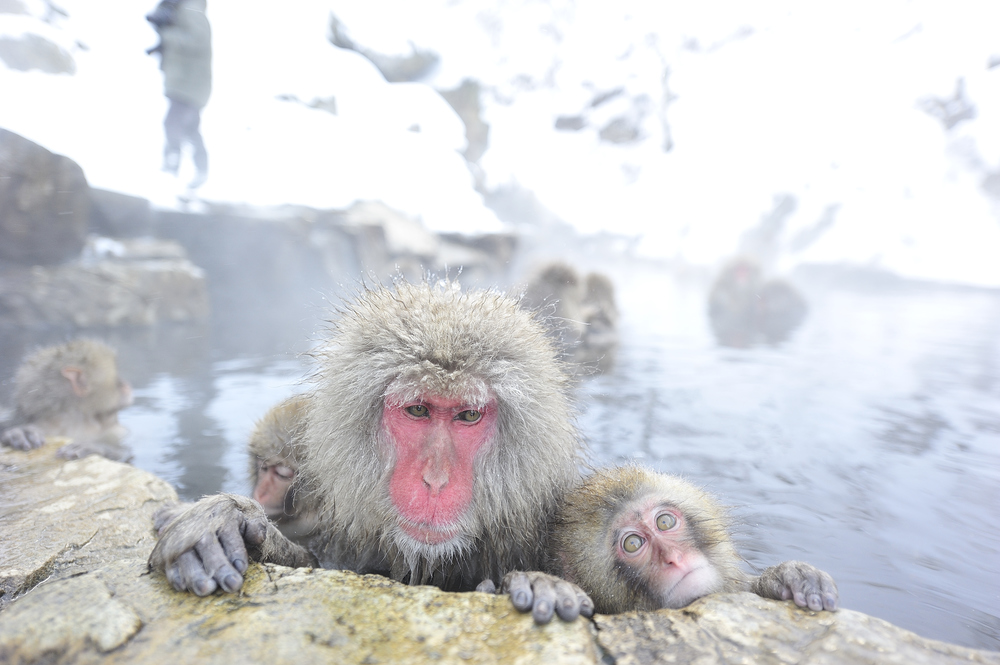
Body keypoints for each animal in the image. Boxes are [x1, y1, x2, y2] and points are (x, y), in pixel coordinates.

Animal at [0, 338, 134, 462]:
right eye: (117, 380)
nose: (126, 385)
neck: (75, 420)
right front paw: (19, 432)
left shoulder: (115, 431)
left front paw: (94, 447)